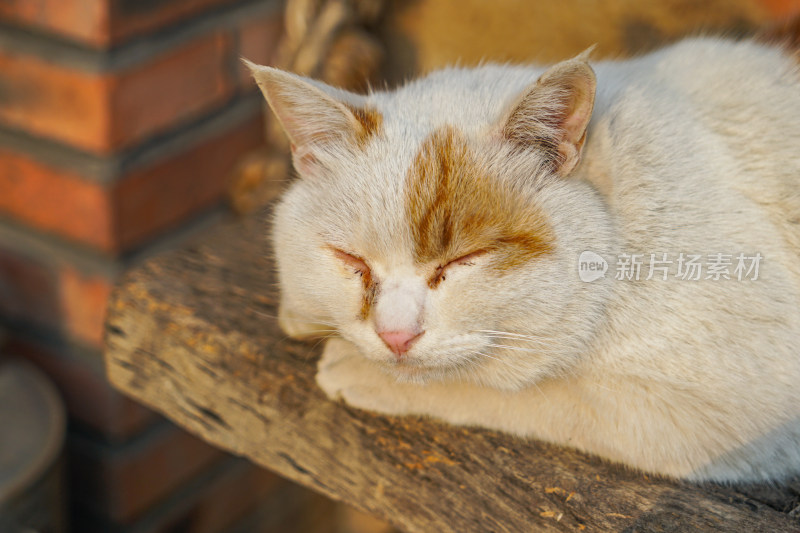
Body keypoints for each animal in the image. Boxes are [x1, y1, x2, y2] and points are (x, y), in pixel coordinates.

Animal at [244, 32, 800, 482]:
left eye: (463, 261)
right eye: (352, 262)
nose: (395, 337)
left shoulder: (722, 411)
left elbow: (512, 393)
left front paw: (359, 370)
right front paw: (300, 313)